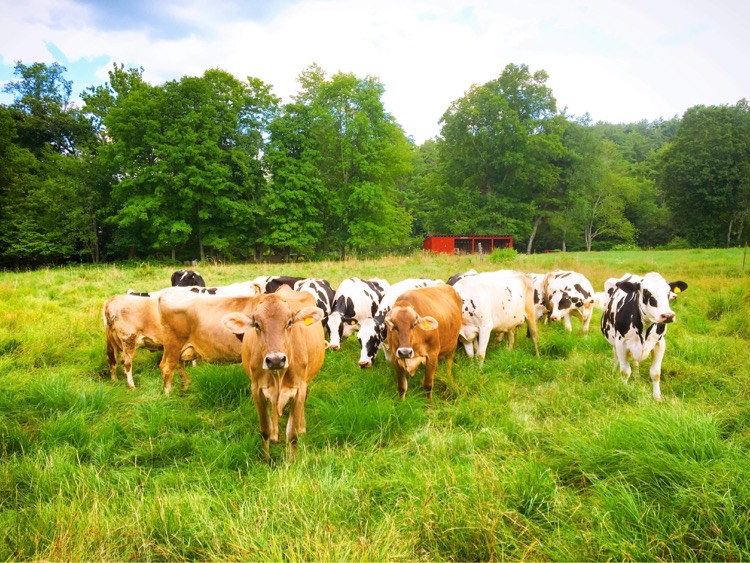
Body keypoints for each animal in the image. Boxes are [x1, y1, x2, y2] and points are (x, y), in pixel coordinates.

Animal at [220, 288, 326, 460]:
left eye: (289, 322)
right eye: (257, 325)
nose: (276, 360)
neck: (278, 375)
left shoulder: (299, 388)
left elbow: (292, 433)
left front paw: (293, 460)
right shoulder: (256, 389)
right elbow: (265, 430)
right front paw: (265, 459)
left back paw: (302, 427)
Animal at [604, 272, 692, 400]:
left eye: (668, 293)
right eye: (646, 292)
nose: (668, 315)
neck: (644, 329)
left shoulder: (660, 343)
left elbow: (655, 373)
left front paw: (657, 397)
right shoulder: (621, 343)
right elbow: (625, 372)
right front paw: (624, 390)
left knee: (635, 361)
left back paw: (637, 376)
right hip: (614, 342)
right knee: (615, 356)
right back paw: (614, 371)